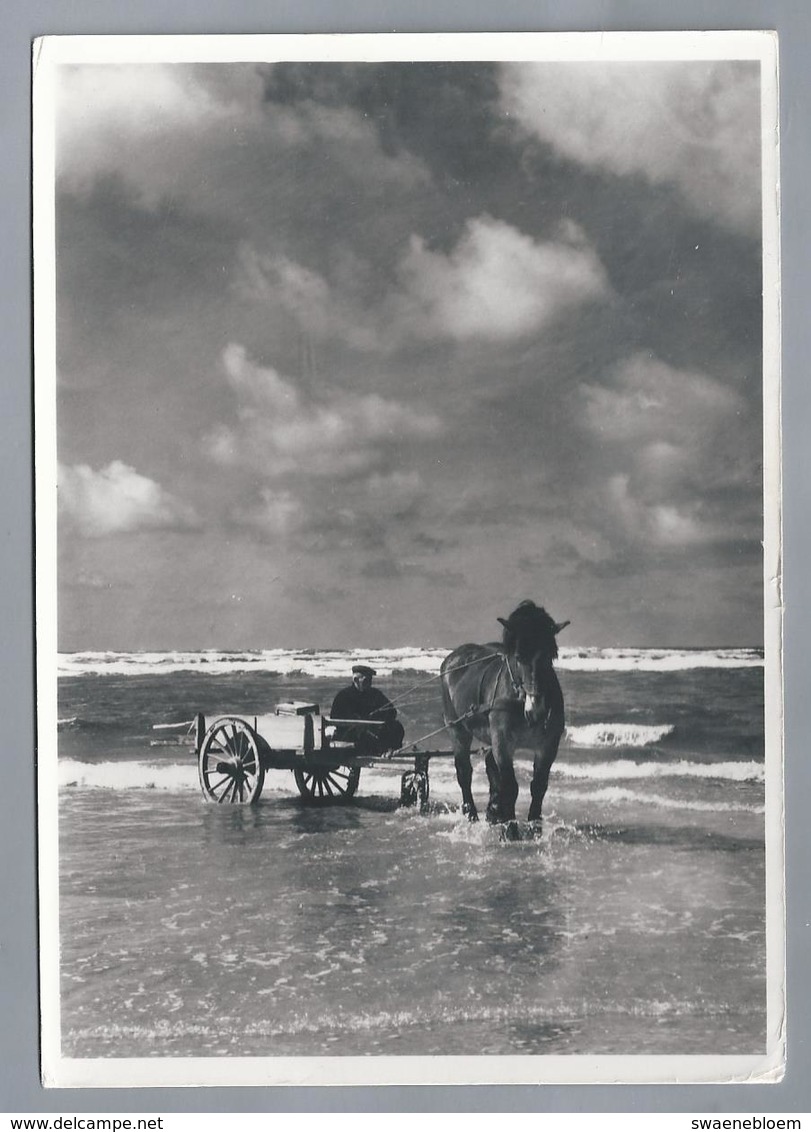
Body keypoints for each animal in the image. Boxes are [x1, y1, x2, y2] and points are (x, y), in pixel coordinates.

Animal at [439, 602, 566, 824]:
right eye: (518, 657)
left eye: (551, 656)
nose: (537, 710)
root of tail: (452, 659)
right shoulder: (503, 742)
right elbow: (510, 787)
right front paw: (510, 827)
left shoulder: (548, 746)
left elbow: (538, 787)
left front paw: (533, 825)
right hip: (456, 729)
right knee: (464, 772)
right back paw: (472, 814)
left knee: (490, 765)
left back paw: (493, 811)